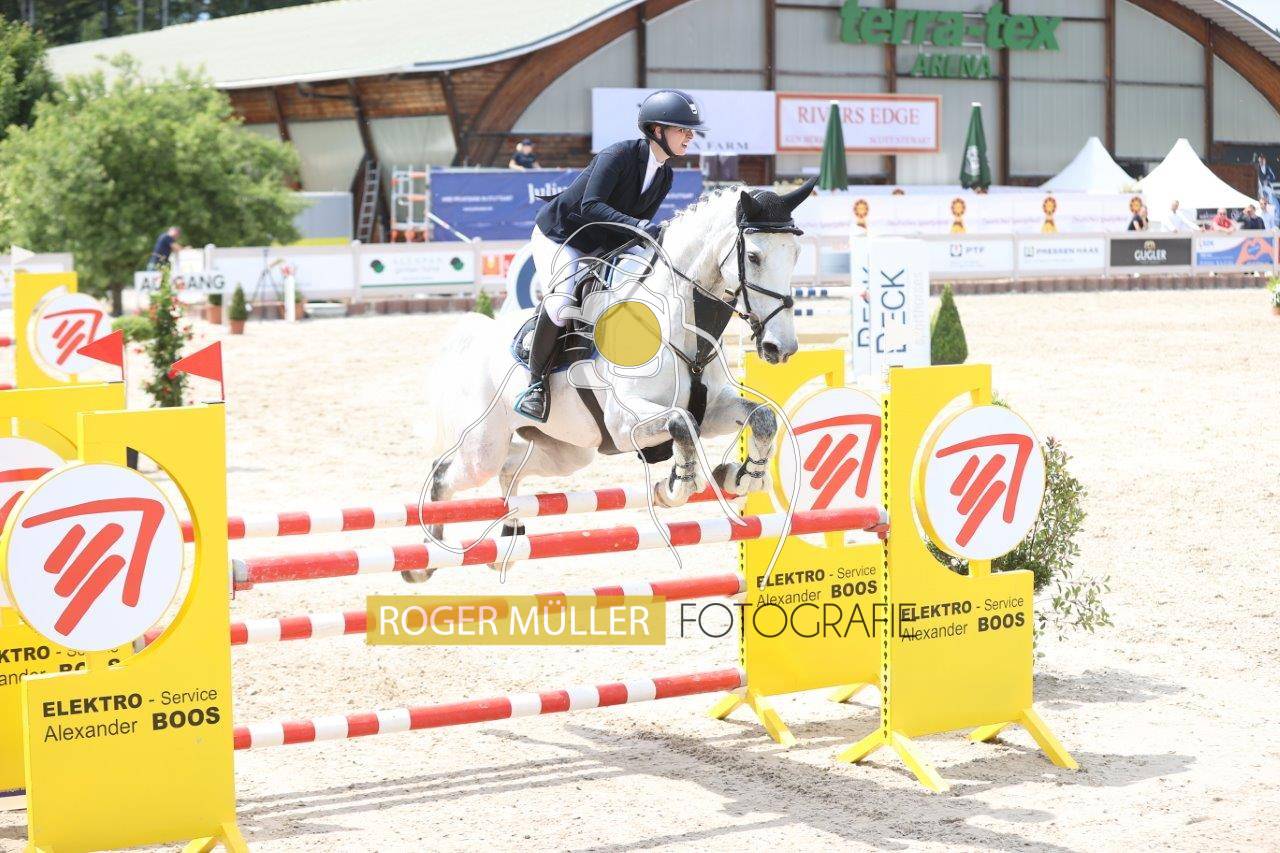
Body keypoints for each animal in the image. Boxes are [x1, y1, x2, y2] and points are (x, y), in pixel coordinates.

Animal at [411, 179, 817, 581]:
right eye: (754, 257)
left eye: (796, 253)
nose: (780, 347)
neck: (677, 323)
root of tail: (478, 336)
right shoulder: (625, 424)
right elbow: (681, 422)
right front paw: (678, 484)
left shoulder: (713, 407)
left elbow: (761, 416)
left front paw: (743, 476)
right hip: (484, 448)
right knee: (446, 474)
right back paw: (427, 557)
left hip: (567, 450)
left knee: (510, 468)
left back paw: (507, 545)